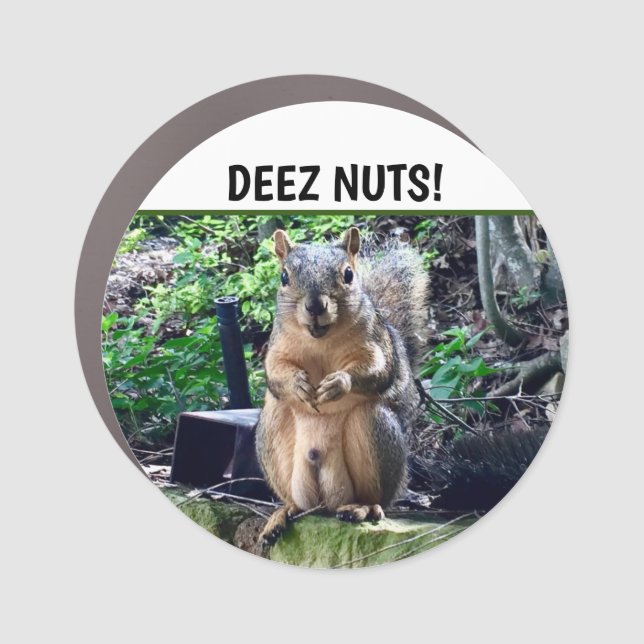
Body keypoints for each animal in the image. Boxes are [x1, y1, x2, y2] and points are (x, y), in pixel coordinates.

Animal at [255, 226, 429, 545]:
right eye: (284, 277)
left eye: (348, 274)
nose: (315, 305)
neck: (320, 339)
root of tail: (326, 501)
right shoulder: (277, 347)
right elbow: (275, 373)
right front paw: (298, 384)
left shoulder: (375, 343)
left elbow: (379, 370)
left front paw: (338, 383)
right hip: (273, 432)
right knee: (297, 503)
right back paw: (282, 514)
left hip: (374, 429)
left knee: (375, 498)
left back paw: (363, 508)